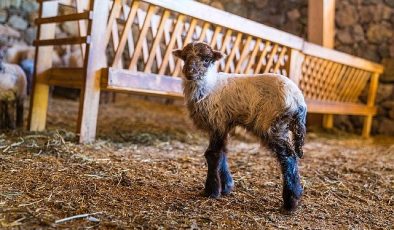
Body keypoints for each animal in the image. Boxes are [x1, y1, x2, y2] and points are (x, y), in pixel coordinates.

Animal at [173, 41, 308, 212]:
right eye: (184, 58)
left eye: (206, 59)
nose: (189, 71)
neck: (210, 86)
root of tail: (299, 101)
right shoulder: (223, 123)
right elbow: (223, 152)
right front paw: (226, 186)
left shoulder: (216, 120)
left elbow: (212, 154)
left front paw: (211, 191)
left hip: (273, 124)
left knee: (288, 157)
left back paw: (291, 200)